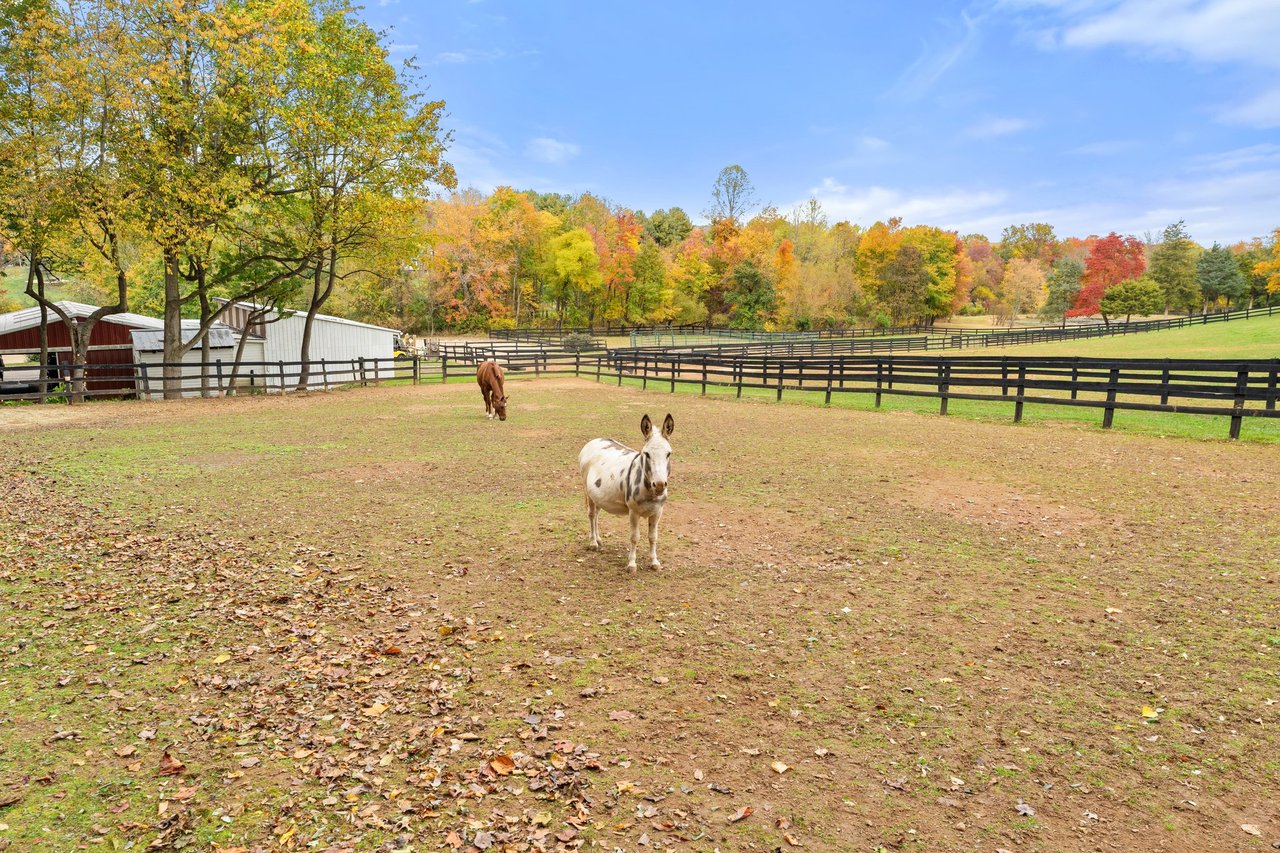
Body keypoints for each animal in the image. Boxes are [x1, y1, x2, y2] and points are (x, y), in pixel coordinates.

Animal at [578, 413, 674, 572]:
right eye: (647, 454)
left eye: (668, 454)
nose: (660, 485)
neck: (650, 492)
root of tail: (595, 440)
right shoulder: (633, 512)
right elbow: (634, 537)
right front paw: (631, 564)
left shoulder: (657, 512)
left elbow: (653, 537)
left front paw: (654, 562)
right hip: (588, 491)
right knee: (591, 515)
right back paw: (593, 543)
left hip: (598, 494)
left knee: (596, 514)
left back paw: (598, 539)